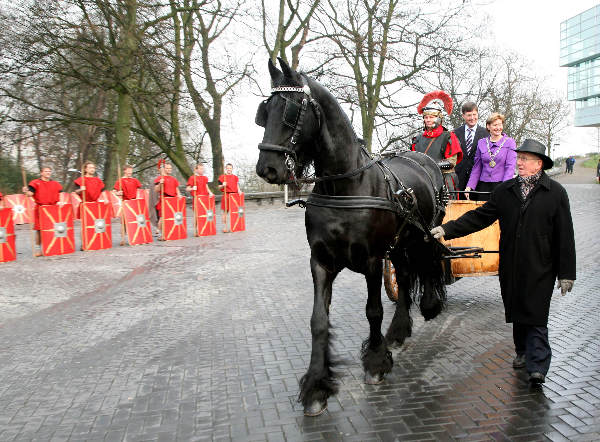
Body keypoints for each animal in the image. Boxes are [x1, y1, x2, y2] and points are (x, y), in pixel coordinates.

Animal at [255, 59, 448, 418]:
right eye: (264, 111)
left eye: (291, 109)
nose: (267, 168)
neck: (343, 186)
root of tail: (422, 158)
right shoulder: (321, 261)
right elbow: (318, 320)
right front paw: (317, 385)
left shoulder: (371, 259)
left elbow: (373, 310)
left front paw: (375, 362)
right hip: (398, 245)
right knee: (404, 275)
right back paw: (399, 330)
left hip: (424, 233)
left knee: (428, 263)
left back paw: (428, 305)